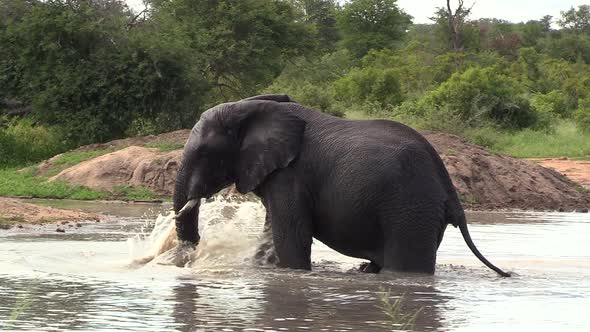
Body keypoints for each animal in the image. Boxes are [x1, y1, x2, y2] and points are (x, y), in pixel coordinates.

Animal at [172, 94, 512, 278]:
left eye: (205, 153)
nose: (190, 257)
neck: (251, 107)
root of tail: (449, 188)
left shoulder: (291, 173)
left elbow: (291, 236)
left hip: (410, 207)